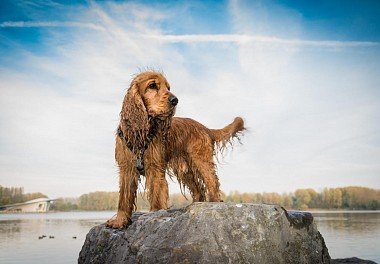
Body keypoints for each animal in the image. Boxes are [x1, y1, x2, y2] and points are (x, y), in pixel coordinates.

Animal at [105, 71, 245, 228]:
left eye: (168, 87)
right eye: (152, 85)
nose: (175, 100)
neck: (140, 134)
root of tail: (204, 127)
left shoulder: (155, 168)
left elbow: (156, 195)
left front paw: (154, 214)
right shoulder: (126, 168)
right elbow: (124, 198)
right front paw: (119, 220)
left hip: (201, 160)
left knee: (212, 181)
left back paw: (214, 203)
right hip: (185, 170)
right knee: (199, 190)